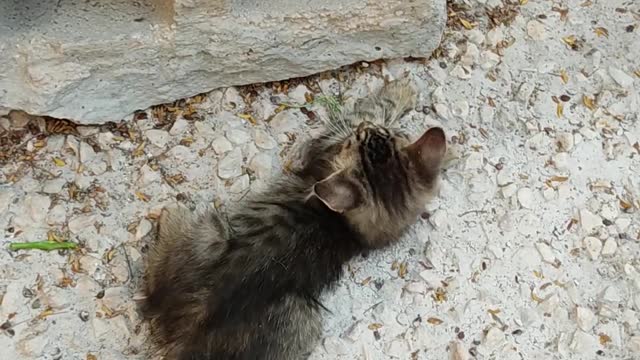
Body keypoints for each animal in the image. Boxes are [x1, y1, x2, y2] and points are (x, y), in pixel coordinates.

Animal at [142, 80, 448, 358]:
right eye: (380, 135)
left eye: (358, 139)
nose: (365, 130)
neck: (346, 227)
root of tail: (186, 330)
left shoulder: (327, 144)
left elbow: (371, 108)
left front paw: (398, 91)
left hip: (218, 236)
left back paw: (171, 213)